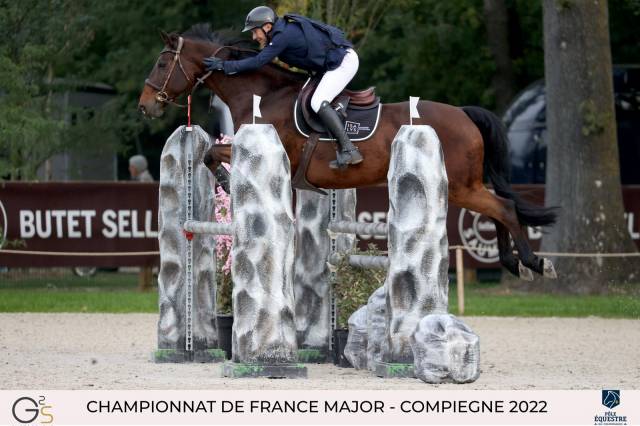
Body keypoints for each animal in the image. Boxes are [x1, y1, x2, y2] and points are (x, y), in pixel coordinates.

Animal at [137, 25, 558, 280]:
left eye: (161, 62)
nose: (145, 106)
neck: (261, 94)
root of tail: (465, 114)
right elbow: (210, 155)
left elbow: (213, 155)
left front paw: (226, 181)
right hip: (464, 185)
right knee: (500, 207)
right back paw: (512, 261)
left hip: (459, 185)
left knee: (504, 208)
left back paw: (534, 262)